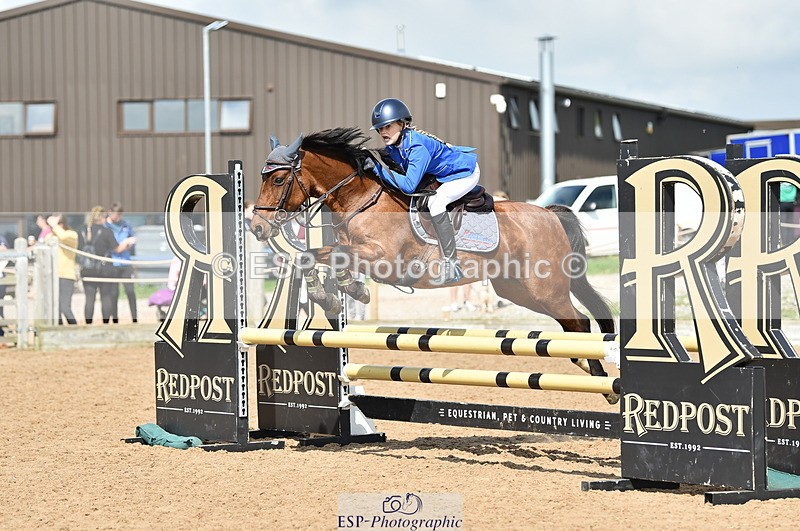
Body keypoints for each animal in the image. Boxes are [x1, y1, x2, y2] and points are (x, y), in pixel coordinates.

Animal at [251, 127, 618, 402]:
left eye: (279, 181)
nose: (256, 228)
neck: (360, 199)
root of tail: (550, 215)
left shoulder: (382, 259)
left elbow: (324, 257)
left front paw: (341, 291)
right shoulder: (352, 249)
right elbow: (315, 257)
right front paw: (333, 295)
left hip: (545, 289)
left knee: (580, 323)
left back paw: (604, 383)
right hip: (518, 290)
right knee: (573, 324)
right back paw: (585, 366)